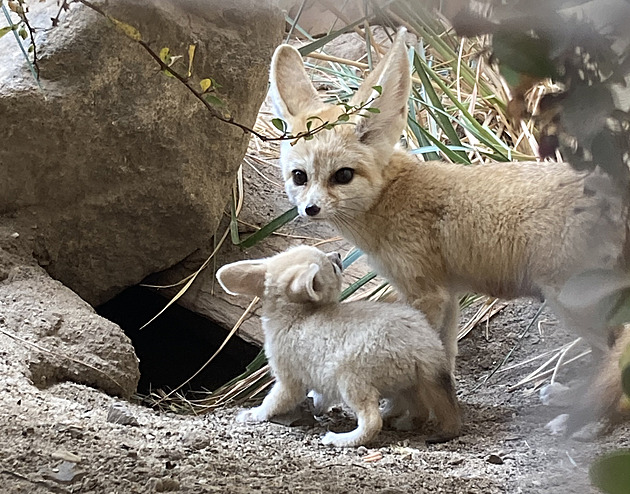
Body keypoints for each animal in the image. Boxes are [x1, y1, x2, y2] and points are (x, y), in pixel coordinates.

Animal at [215, 246, 462, 448]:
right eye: (334, 269)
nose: (338, 254)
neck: (297, 315)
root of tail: (423, 342)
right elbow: (318, 396)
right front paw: (316, 407)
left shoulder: (289, 382)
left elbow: (271, 402)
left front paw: (253, 414)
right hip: (407, 383)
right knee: (420, 410)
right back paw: (404, 423)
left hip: (350, 380)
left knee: (373, 422)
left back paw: (341, 439)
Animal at [270, 29, 628, 424]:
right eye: (300, 177)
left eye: (342, 176)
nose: (310, 209)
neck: (390, 196)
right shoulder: (449, 295)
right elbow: (444, 356)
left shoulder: (426, 294)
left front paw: (403, 410)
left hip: (570, 302)